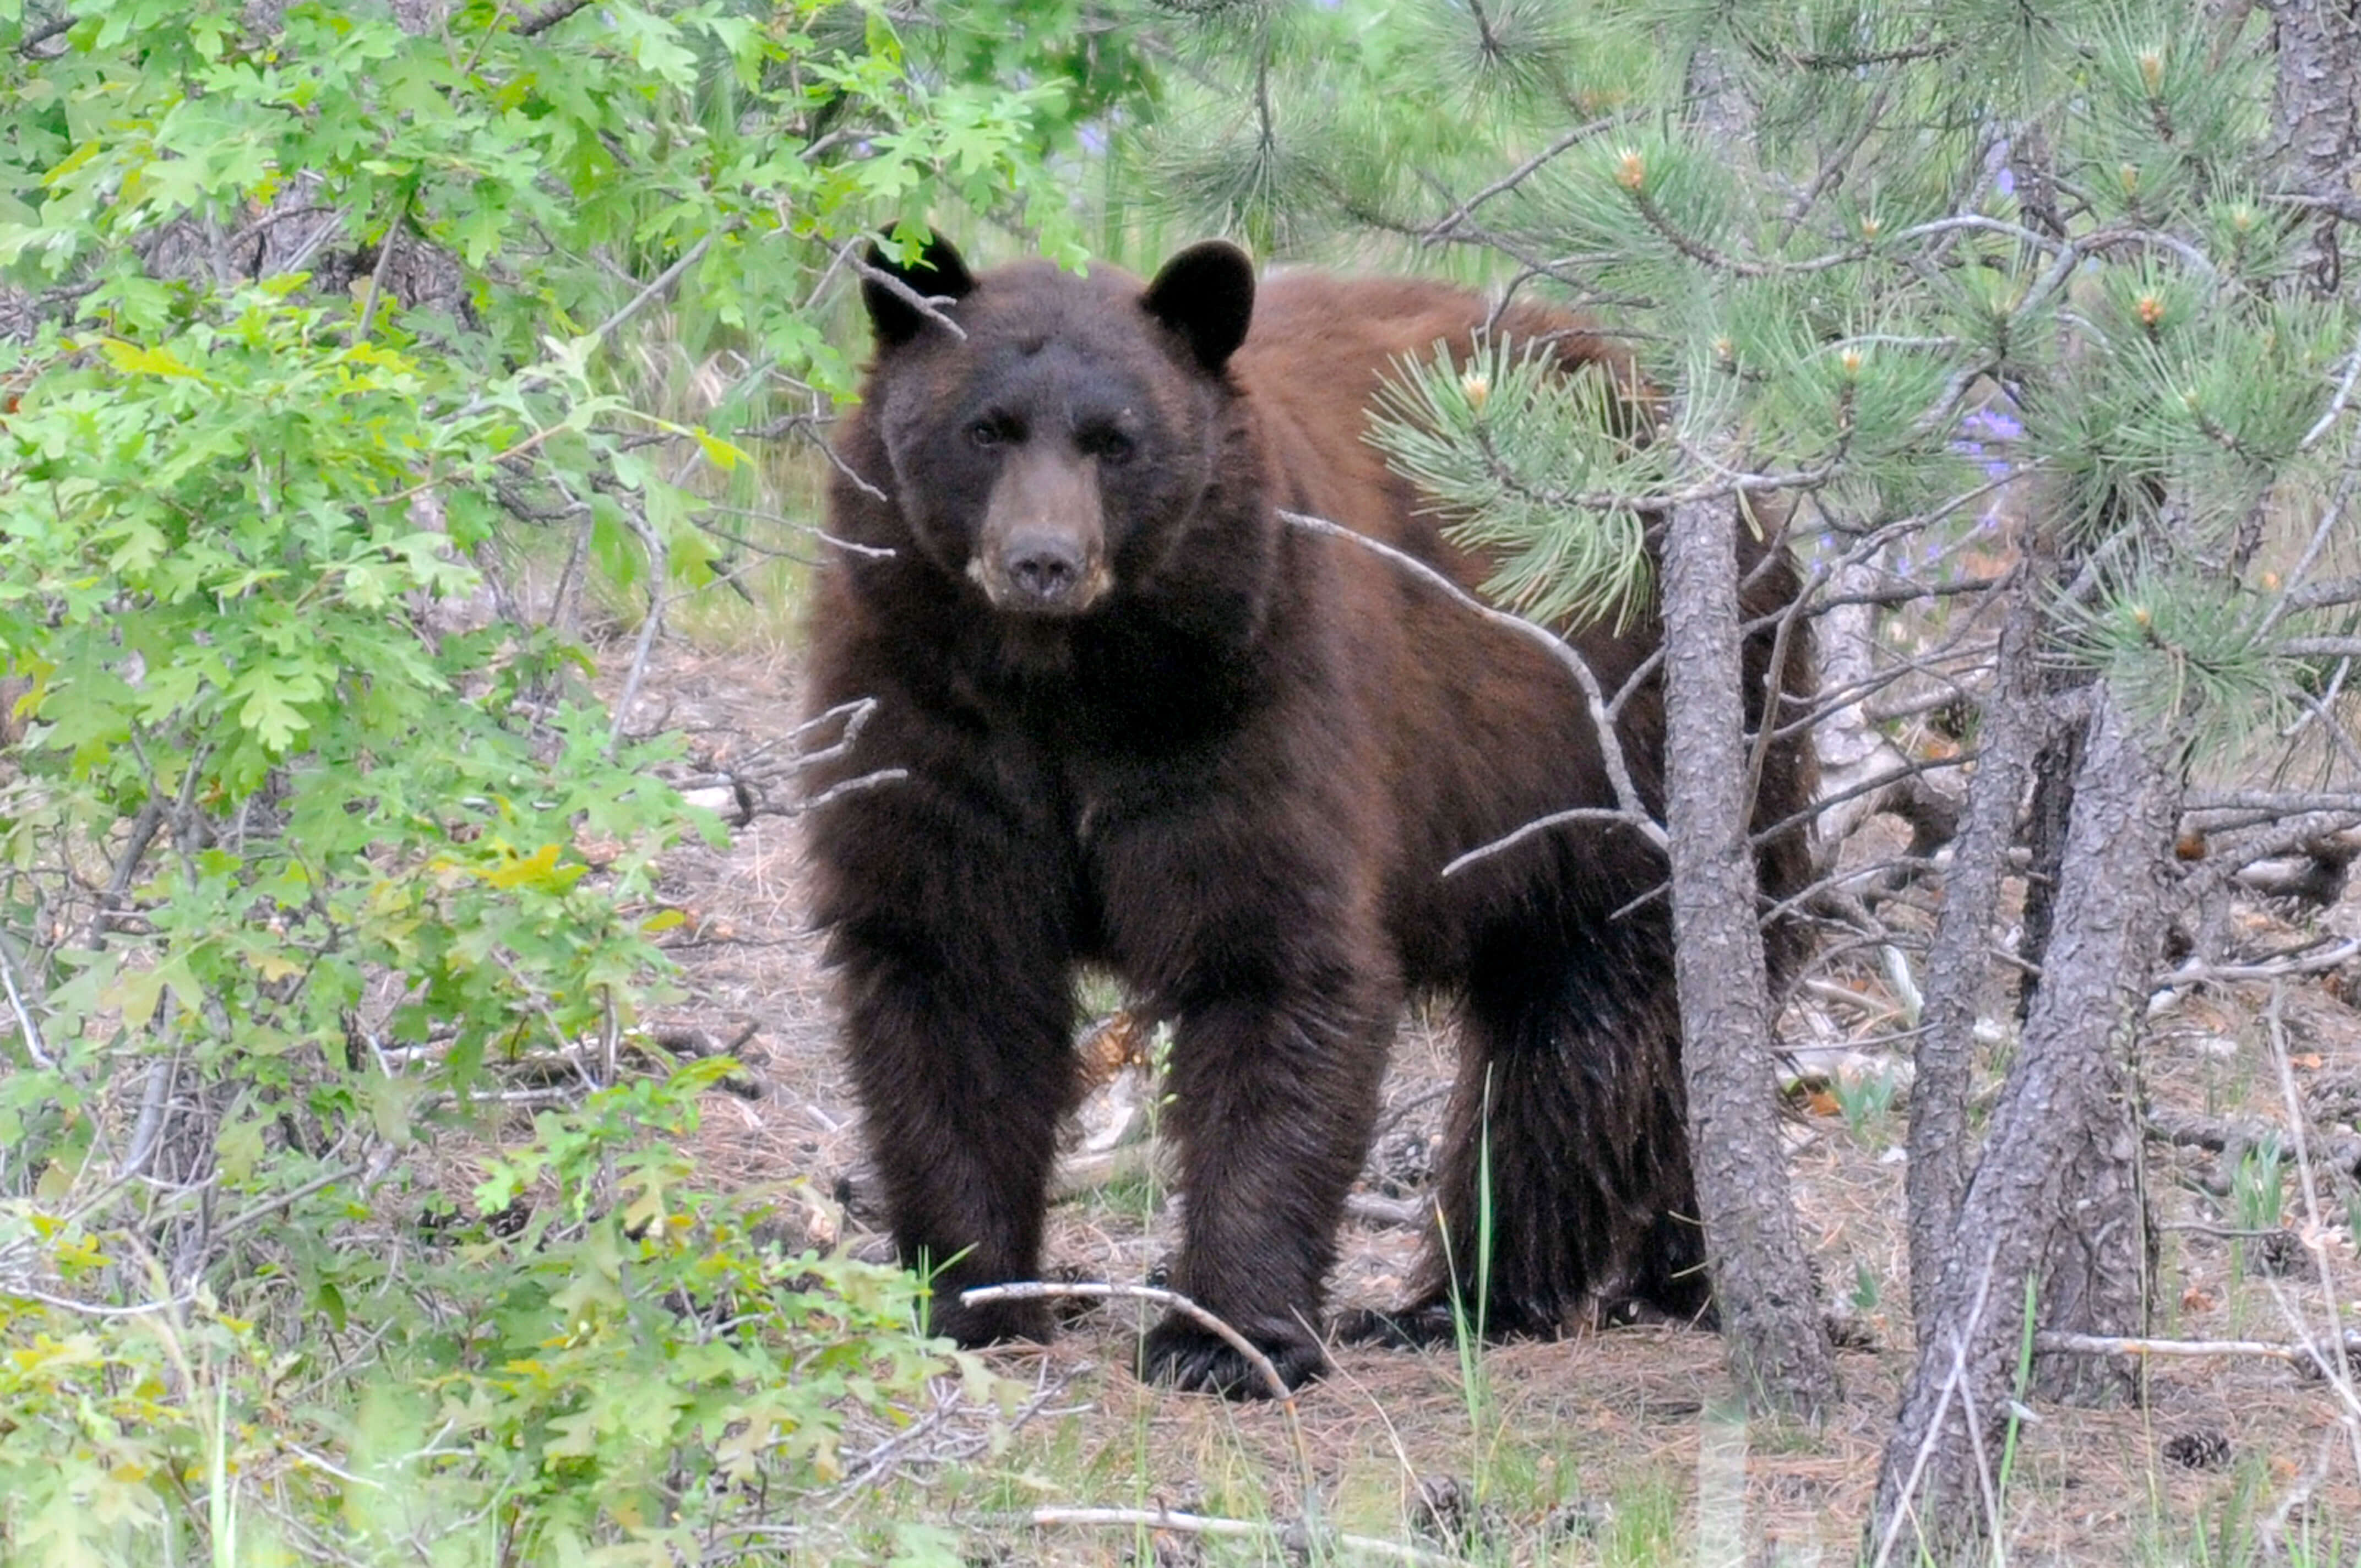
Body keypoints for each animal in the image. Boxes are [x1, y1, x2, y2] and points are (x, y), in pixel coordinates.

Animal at [802, 236, 1813, 1398]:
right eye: (986, 428)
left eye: (1115, 440)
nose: (1042, 561)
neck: (1064, 685)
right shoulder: (921, 711)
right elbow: (948, 962)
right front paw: (972, 1295)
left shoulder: (1253, 692)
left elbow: (1275, 958)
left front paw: (1224, 1339)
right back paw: (1663, 1274)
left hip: (1632, 758)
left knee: (1591, 1031)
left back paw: (1475, 1296)